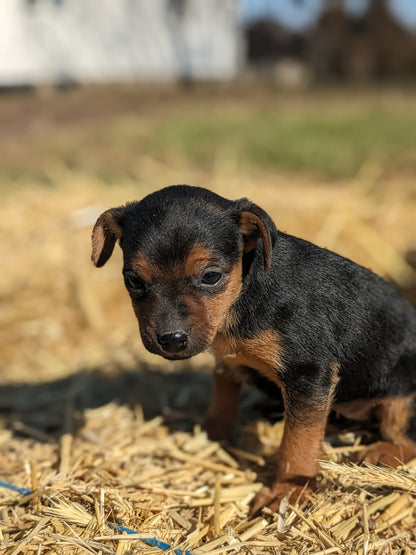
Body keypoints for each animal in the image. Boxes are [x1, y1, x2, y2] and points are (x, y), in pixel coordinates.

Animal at [91, 186, 416, 512]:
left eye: (211, 276)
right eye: (133, 280)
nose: (172, 339)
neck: (243, 293)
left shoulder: (308, 375)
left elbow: (298, 442)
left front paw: (288, 491)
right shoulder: (226, 360)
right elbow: (222, 398)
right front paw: (209, 433)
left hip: (402, 399)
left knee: (405, 436)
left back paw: (380, 453)